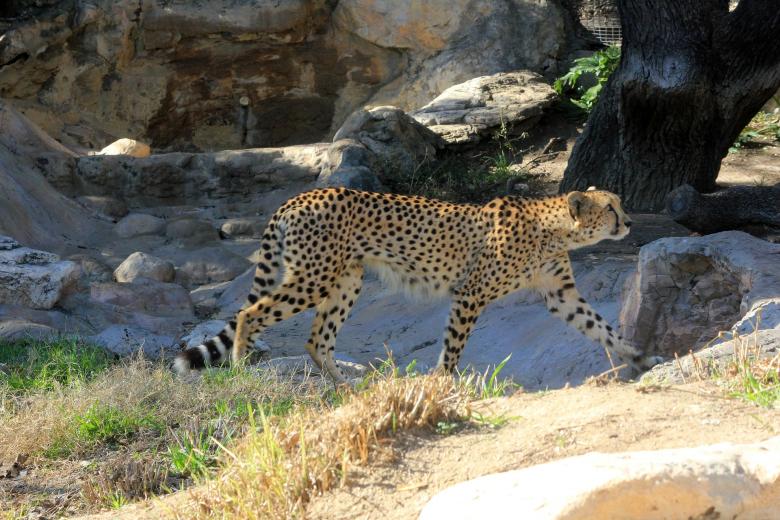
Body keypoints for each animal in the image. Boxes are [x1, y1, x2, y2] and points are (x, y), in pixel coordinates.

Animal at [174, 187, 662, 384]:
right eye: (611, 208)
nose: (630, 222)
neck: (555, 228)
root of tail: (301, 196)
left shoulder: (561, 295)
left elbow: (602, 328)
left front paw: (640, 357)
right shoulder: (471, 294)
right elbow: (453, 346)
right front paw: (443, 384)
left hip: (346, 280)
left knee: (317, 339)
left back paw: (347, 388)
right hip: (313, 278)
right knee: (249, 312)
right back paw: (240, 367)